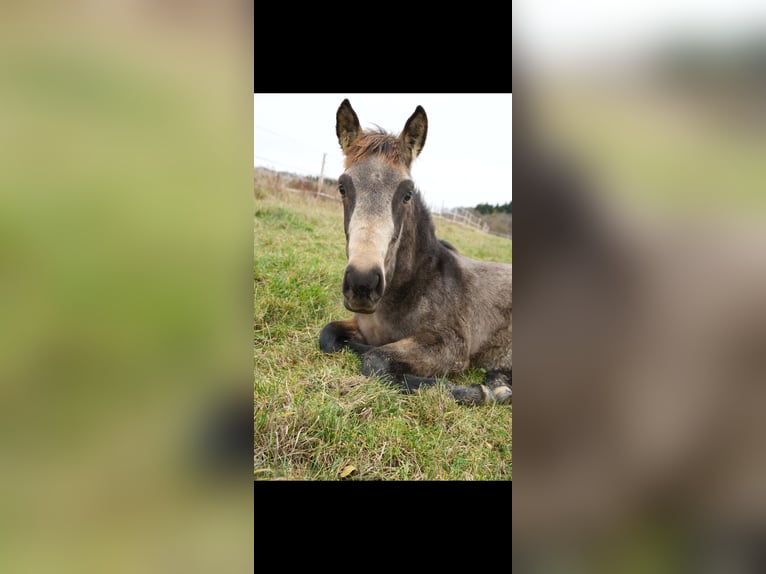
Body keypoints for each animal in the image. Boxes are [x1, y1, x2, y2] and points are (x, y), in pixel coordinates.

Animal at [320, 99, 512, 408]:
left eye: (407, 194)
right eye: (342, 187)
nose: (362, 284)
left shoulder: (450, 346)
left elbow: (374, 359)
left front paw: (476, 392)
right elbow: (327, 336)